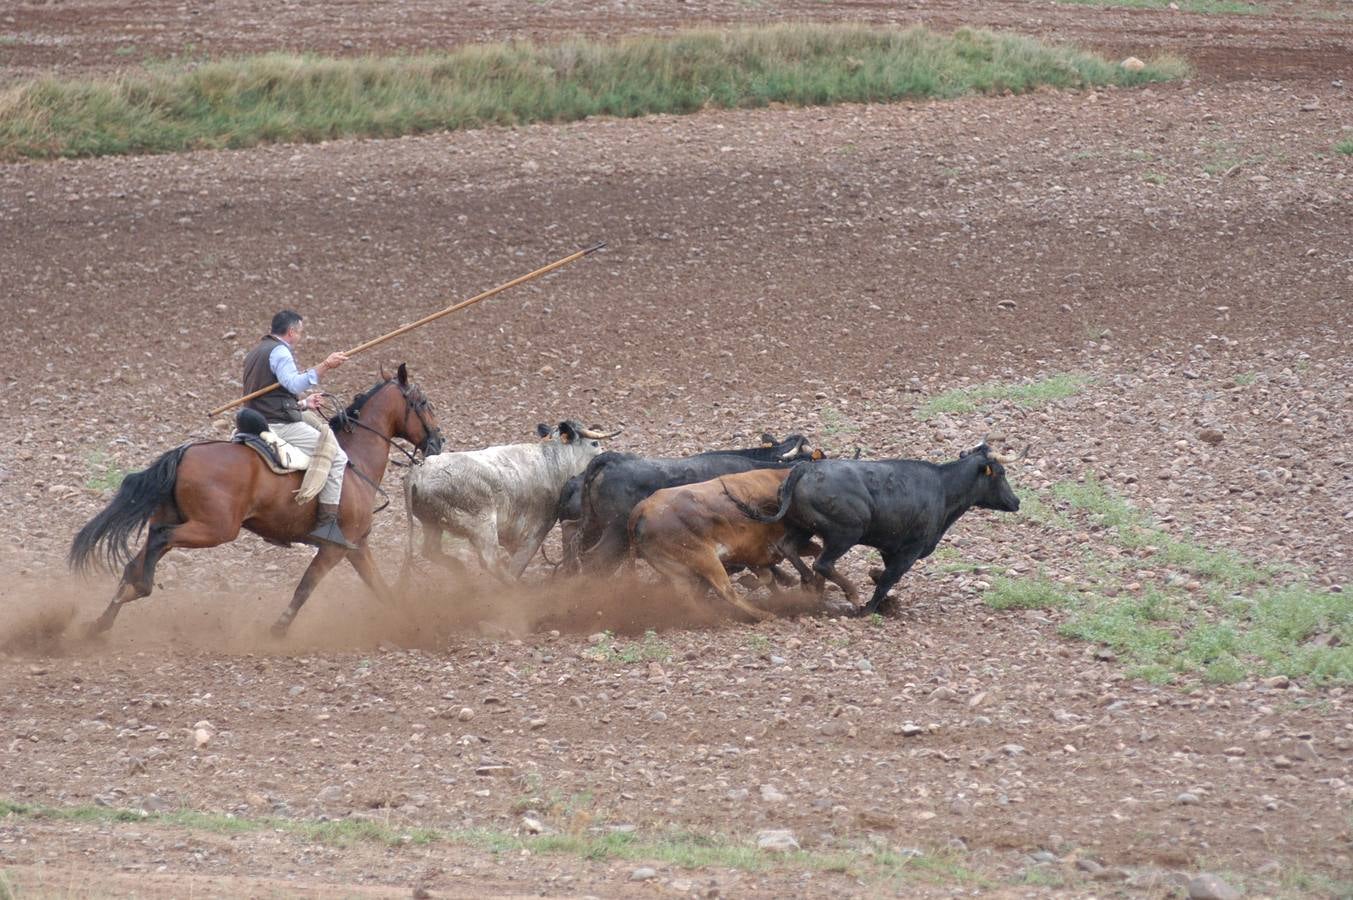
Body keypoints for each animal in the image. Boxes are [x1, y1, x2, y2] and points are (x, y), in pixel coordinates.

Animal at [68, 362, 443, 636]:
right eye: (423, 403)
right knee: (157, 543)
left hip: (179, 519)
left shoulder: (357, 547)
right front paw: (278, 629)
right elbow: (305, 587)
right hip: (214, 529)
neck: (354, 459)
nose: (438, 441)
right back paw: (140, 589)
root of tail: (184, 453)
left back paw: (101, 623)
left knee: (136, 561)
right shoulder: (335, 547)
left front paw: (408, 623)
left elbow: (381, 589)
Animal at [403, 419, 619, 579]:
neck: (552, 461)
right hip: (483, 525)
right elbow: (519, 562)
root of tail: (419, 471)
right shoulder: (535, 531)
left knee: (430, 551)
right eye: (595, 443)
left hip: (432, 523)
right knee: (490, 561)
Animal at [625, 462, 822, 617]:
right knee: (726, 591)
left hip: (677, 570)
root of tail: (644, 508)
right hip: (705, 558)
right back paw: (762, 614)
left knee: (686, 596)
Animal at [730, 443, 1022, 614]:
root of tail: (803, 469)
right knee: (822, 563)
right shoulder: (910, 550)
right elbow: (888, 578)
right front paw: (871, 606)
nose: (1016, 501)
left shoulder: (889, 547)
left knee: (789, 549)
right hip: (845, 533)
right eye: (1001, 473)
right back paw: (849, 593)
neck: (942, 487)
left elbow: (883, 575)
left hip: (803, 528)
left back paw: (811, 586)